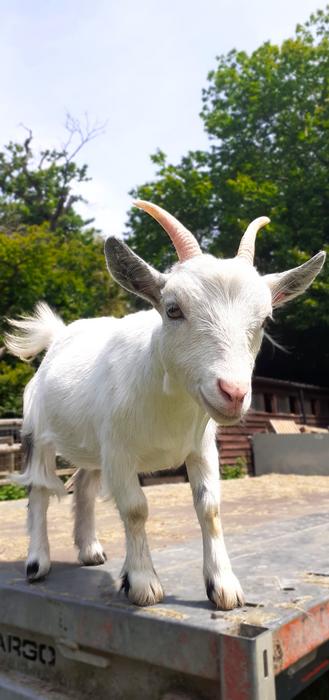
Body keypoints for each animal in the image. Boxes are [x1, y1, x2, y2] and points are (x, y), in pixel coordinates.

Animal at [5, 201, 326, 608]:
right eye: (173, 309)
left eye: (265, 319)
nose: (233, 392)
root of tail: (58, 336)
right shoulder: (120, 452)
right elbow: (135, 509)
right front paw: (143, 583)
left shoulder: (200, 448)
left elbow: (209, 508)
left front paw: (223, 586)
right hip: (37, 432)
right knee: (40, 490)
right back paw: (37, 563)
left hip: (94, 445)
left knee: (86, 487)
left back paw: (90, 549)